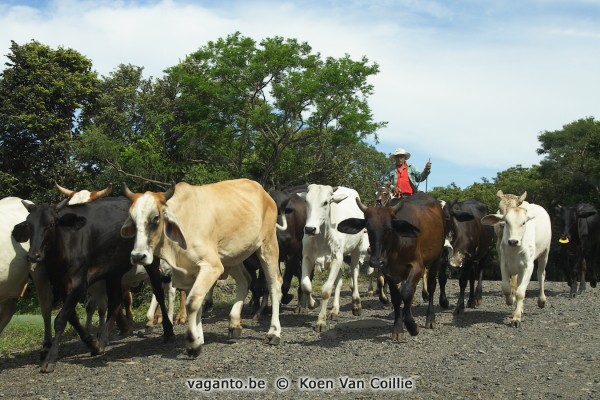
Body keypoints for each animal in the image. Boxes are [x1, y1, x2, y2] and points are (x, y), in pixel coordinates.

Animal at [11, 197, 173, 372]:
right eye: (29, 225)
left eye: (51, 224)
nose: (34, 255)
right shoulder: (60, 286)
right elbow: (72, 318)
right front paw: (93, 344)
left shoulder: (79, 283)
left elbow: (60, 319)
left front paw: (50, 358)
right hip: (114, 271)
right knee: (115, 300)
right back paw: (102, 341)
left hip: (151, 261)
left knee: (158, 292)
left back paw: (168, 332)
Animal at [120, 179, 284, 356]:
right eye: (133, 219)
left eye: (156, 218)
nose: (138, 256)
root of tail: (262, 191)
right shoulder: (189, 273)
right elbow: (196, 303)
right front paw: (199, 338)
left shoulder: (211, 266)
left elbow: (192, 302)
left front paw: (193, 343)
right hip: (231, 256)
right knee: (245, 280)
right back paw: (234, 325)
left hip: (267, 244)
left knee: (274, 284)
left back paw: (274, 333)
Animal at [298, 184, 368, 332]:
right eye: (306, 201)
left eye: (325, 202)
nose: (310, 229)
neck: (322, 236)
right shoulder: (307, 257)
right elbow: (306, 285)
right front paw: (313, 303)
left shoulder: (337, 258)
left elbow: (326, 290)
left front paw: (320, 321)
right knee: (339, 280)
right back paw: (335, 310)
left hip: (356, 249)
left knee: (354, 273)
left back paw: (356, 305)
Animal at [338, 192, 446, 340]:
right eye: (368, 229)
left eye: (389, 229)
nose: (376, 262)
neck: (397, 245)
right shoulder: (388, 271)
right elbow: (396, 297)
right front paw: (398, 328)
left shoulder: (418, 267)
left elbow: (406, 292)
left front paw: (412, 326)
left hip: (436, 259)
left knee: (431, 287)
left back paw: (430, 318)